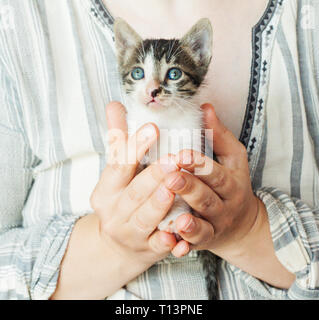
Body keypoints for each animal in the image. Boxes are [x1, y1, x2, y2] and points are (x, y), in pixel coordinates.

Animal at [114, 18, 219, 300]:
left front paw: (175, 215)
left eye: (174, 74)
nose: (152, 91)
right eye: (138, 73)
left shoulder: (194, 143)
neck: (164, 120)